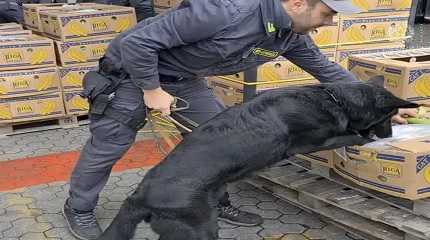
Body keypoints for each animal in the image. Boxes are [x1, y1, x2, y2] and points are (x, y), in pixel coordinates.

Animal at [96, 82, 416, 240]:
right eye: (388, 117)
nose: (390, 134)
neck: (334, 98)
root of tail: (139, 195)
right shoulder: (316, 141)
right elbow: (355, 136)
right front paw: (371, 138)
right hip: (200, 229)